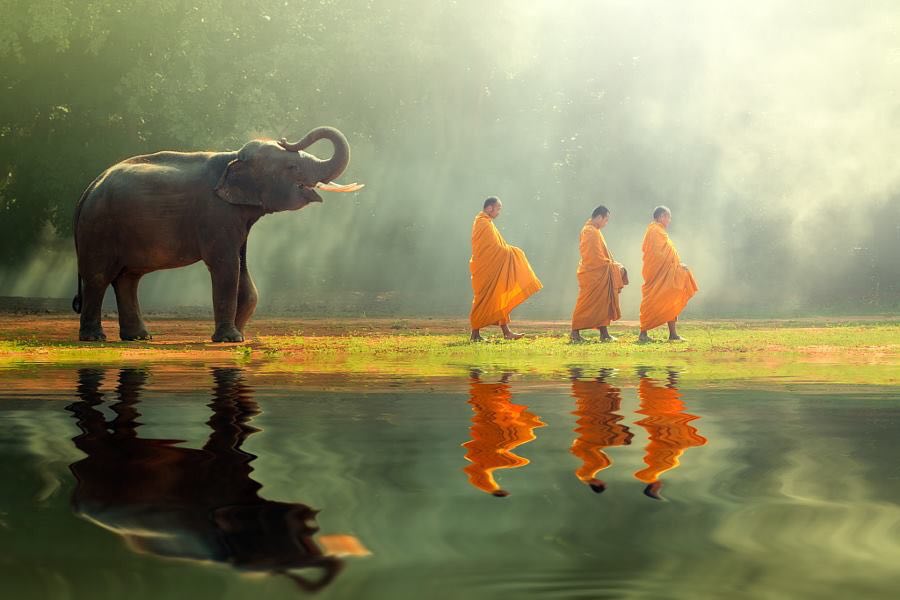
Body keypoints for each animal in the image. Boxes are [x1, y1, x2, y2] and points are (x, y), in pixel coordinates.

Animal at [71, 126, 352, 342]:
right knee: (99, 277)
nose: (284, 138)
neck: (233, 156)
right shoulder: (217, 214)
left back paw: (139, 337)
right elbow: (226, 266)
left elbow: (243, 273)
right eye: (292, 167)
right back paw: (94, 338)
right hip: (98, 227)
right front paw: (230, 339)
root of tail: (89, 188)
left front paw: (238, 335)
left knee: (128, 278)